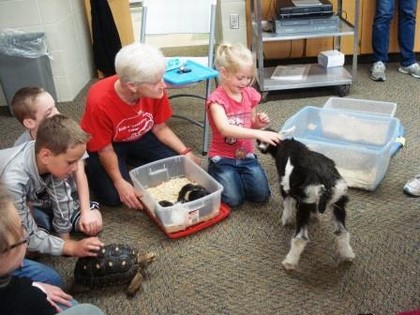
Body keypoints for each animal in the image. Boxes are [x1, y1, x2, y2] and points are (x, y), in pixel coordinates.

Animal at [258, 130, 356, 270]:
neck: (284, 144)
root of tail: (324, 180)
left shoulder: (285, 186)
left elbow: (287, 204)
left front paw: (285, 220)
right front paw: (315, 216)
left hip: (304, 206)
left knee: (300, 238)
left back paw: (289, 262)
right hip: (339, 201)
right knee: (342, 232)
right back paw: (348, 255)